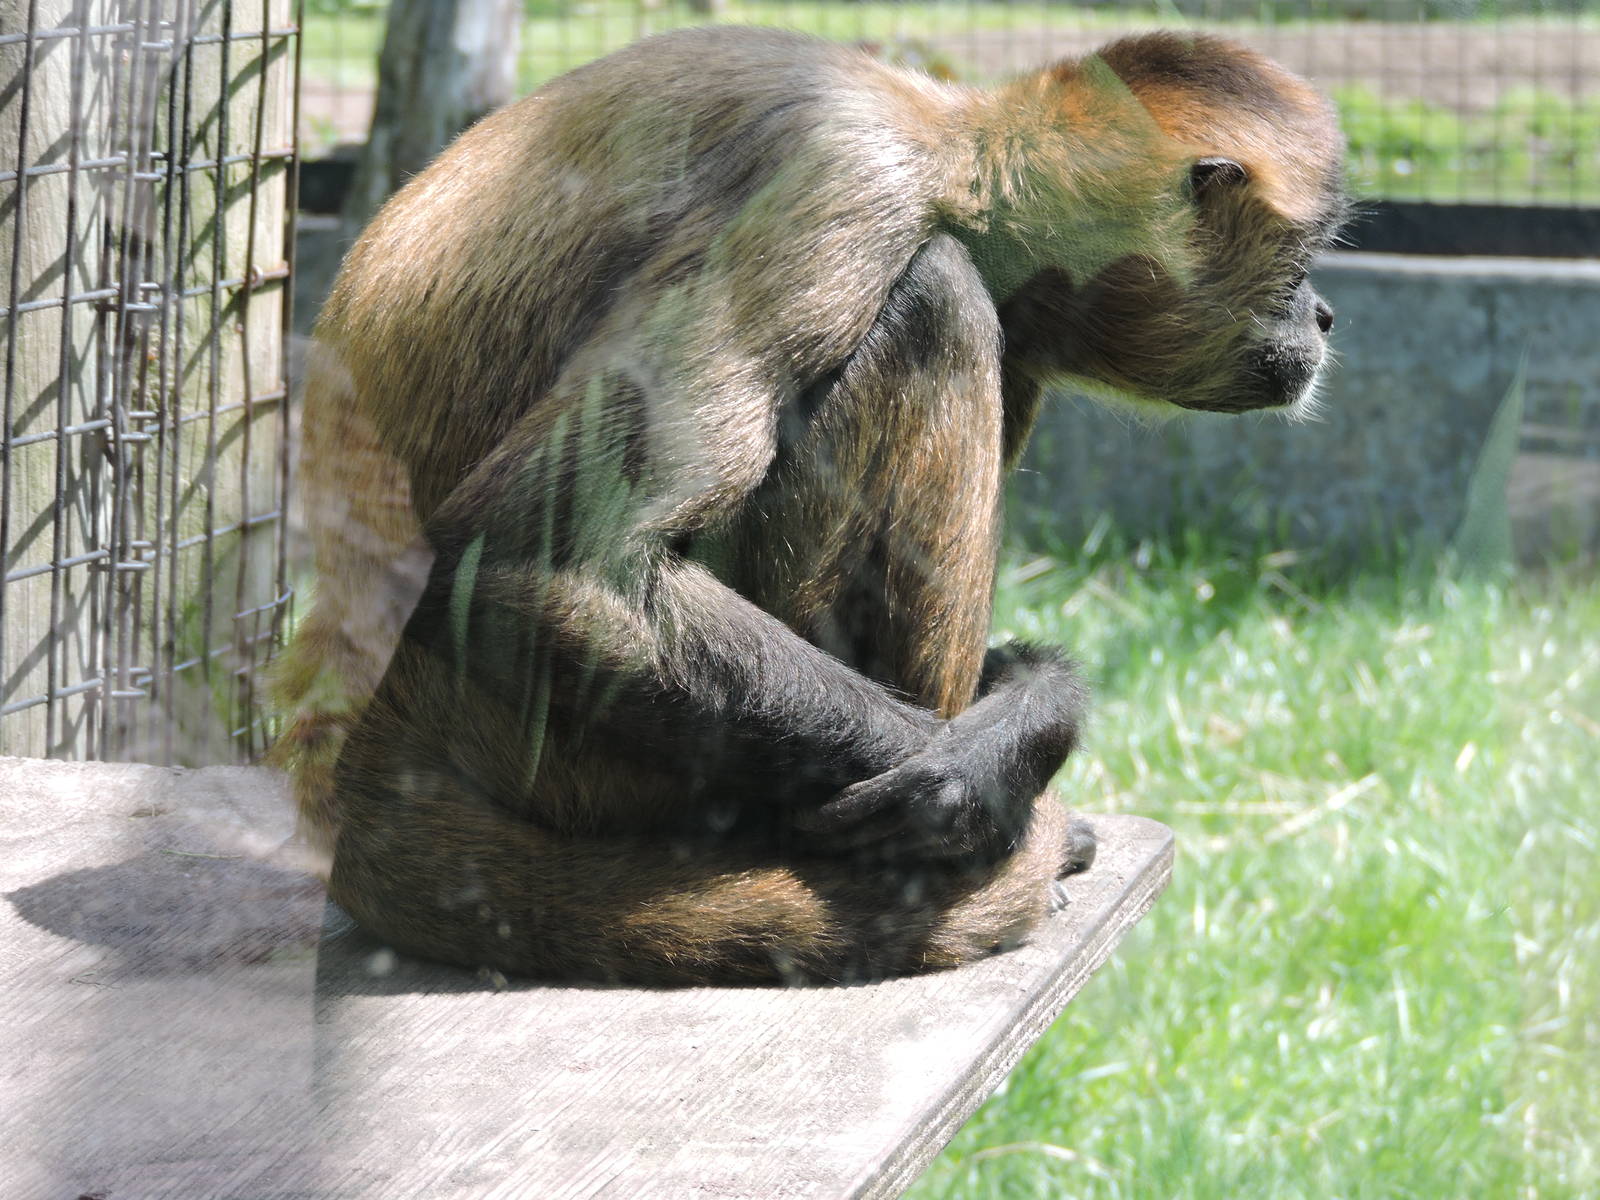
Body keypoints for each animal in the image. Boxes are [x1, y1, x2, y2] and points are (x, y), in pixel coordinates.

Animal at [271, 27, 1346, 984]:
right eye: (1301, 260)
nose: (1326, 314)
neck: (944, 146)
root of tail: (359, 737)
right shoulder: (844, 179)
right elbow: (529, 560)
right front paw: (977, 793)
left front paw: (1025, 716)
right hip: (580, 761)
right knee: (937, 294)